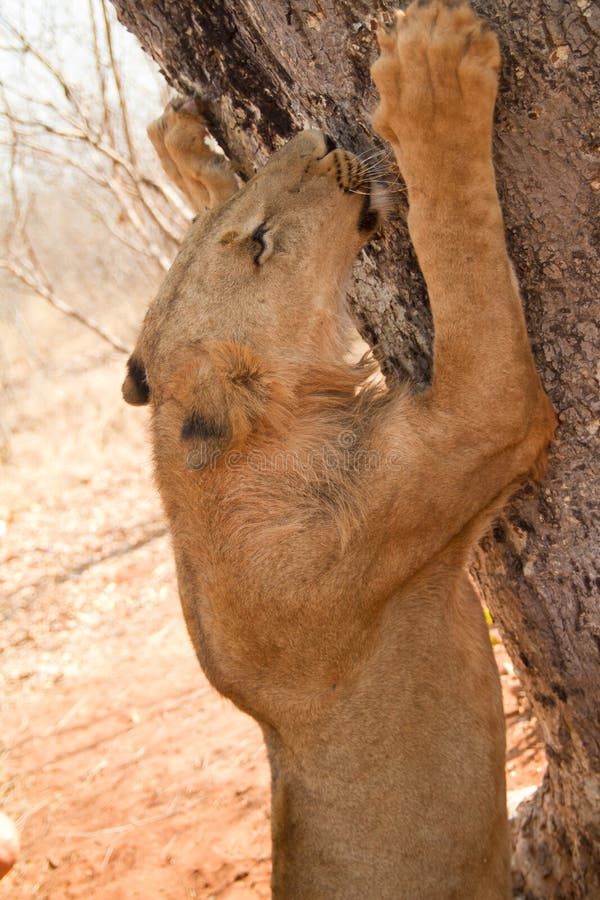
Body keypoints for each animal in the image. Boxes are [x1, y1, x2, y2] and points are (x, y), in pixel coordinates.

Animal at [123, 3, 556, 896]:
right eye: (259, 242)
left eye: (239, 229)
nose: (316, 138)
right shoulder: (481, 422)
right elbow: (457, 239)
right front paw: (430, 76)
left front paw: (186, 147)